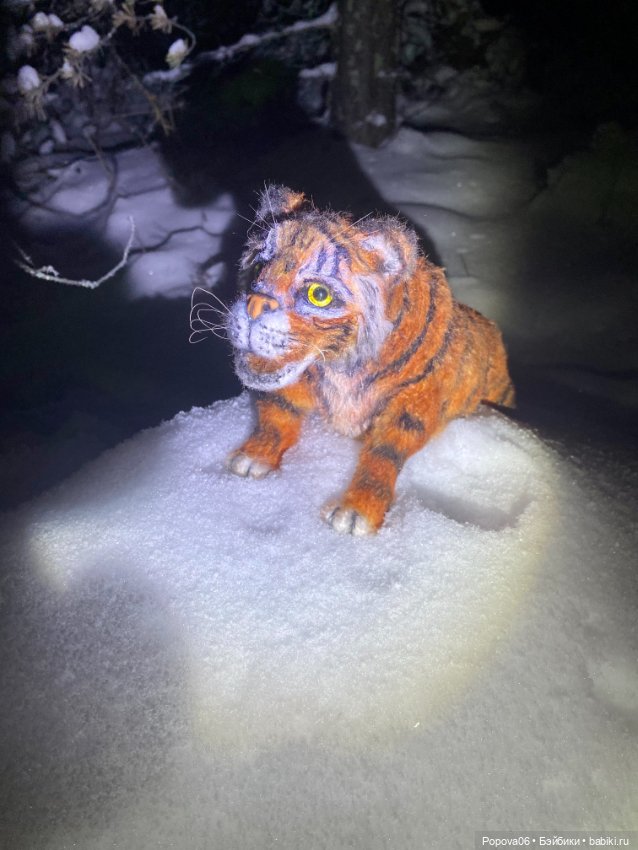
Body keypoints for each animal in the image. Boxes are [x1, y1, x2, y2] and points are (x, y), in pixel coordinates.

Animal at [225, 185, 515, 535]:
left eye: (318, 294)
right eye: (257, 268)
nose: (254, 305)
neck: (340, 367)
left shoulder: (413, 402)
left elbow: (383, 453)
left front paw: (355, 512)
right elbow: (276, 414)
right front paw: (253, 457)